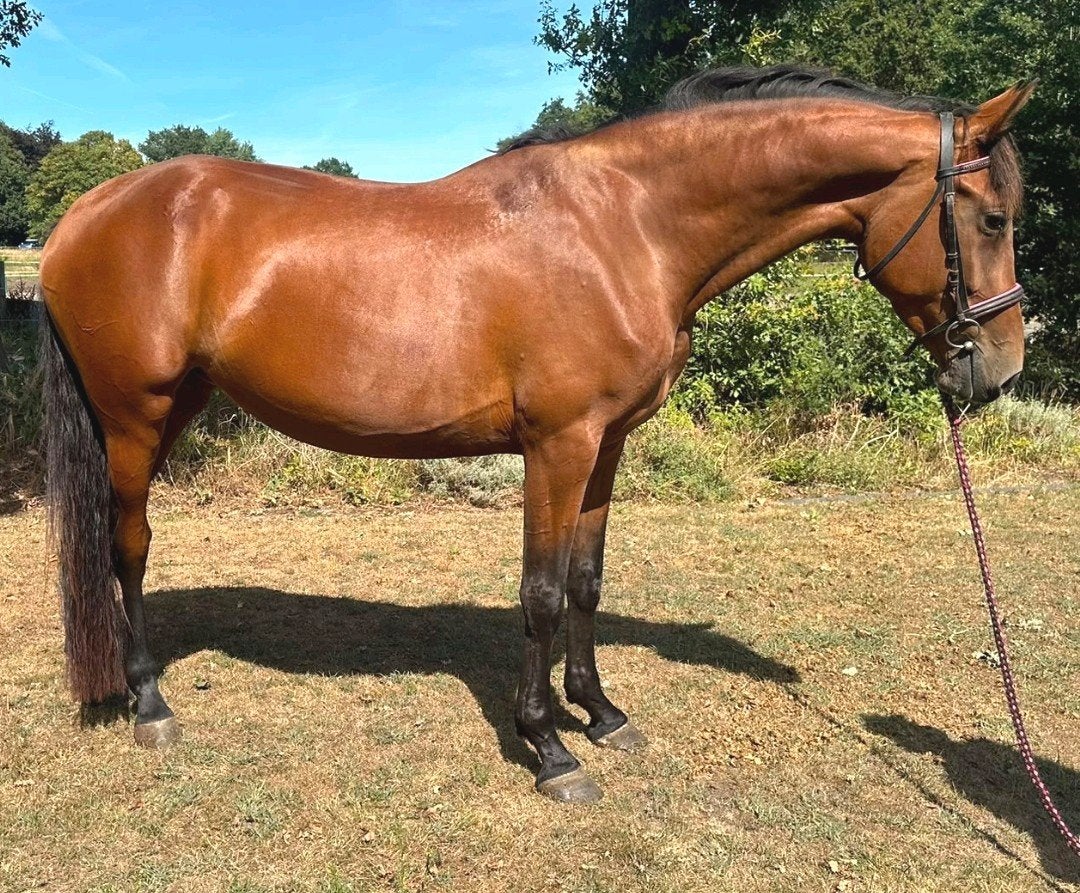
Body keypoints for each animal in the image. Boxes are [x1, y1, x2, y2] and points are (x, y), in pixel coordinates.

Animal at [39, 66, 1034, 803]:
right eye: (992, 218)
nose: (1001, 369)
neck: (628, 226)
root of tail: (84, 212)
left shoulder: (607, 444)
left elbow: (587, 583)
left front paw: (601, 712)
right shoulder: (558, 445)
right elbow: (543, 594)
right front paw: (550, 748)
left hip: (179, 405)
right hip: (134, 417)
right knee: (128, 546)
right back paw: (149, 699)